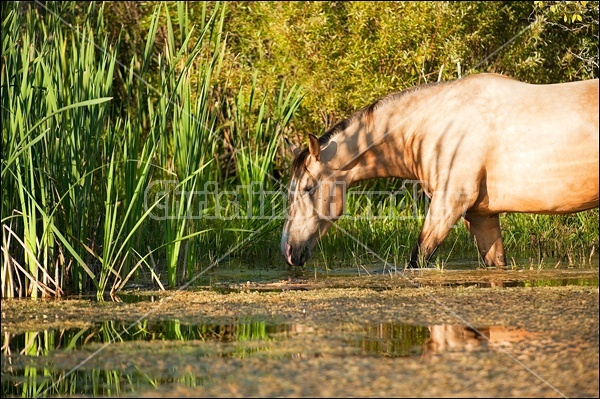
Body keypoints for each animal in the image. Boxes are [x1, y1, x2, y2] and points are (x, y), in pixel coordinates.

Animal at [282, 74, 600, 268]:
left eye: (308, 188)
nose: (288, 251)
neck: (433, 127)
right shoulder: (481, 216)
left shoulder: (448, 205)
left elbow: (417, 260)